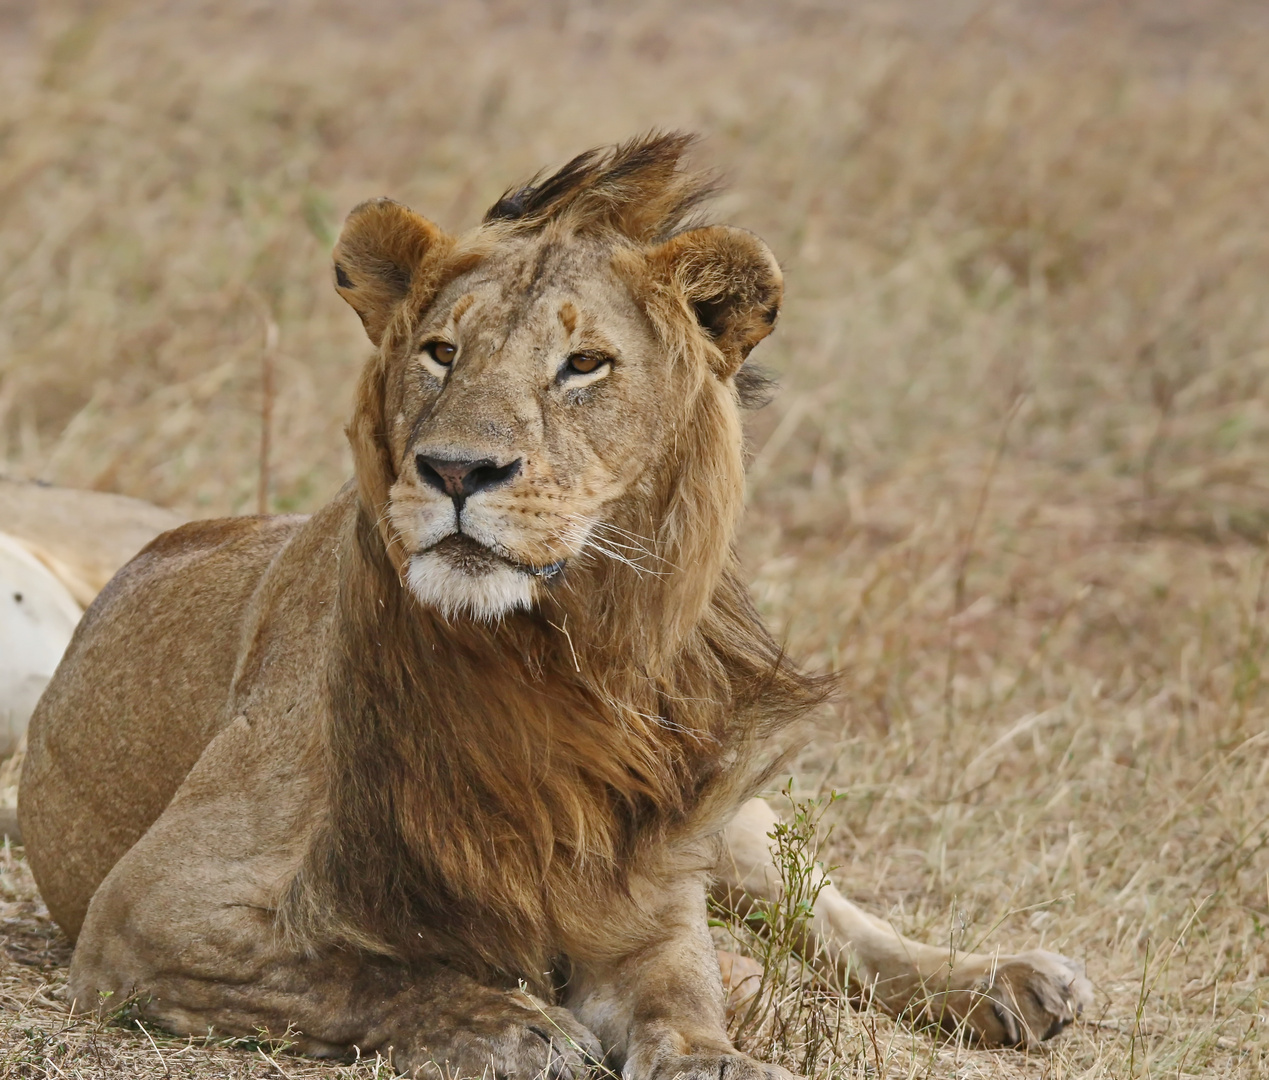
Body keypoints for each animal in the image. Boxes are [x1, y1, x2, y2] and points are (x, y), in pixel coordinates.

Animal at [17, 137, 1091, 1080]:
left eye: (584, 365)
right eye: (441, 352)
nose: (456, 470)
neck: (551, 659)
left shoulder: (644, 888)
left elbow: (680, 992)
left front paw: (711, 1052)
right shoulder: (149, 909)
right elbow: (364, 973)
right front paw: (511, 1024)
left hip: (723, 813)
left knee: (821, 911)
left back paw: (1008, 981)